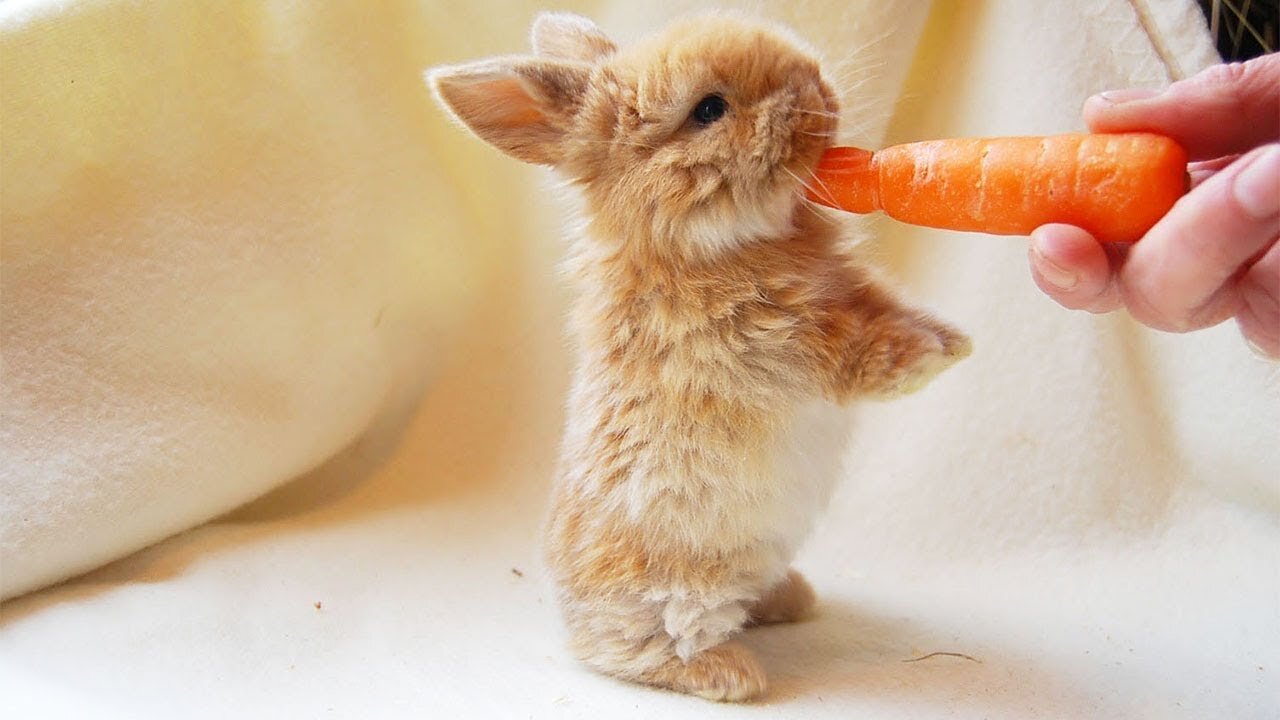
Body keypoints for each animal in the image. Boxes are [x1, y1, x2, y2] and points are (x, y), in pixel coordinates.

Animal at [430, 11, 967, 702]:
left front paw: (950, 335)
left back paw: (791, 599)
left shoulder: (852, 296)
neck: (698, 246)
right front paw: (942, 355)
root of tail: (573, 613)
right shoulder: (785, 344)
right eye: (708, 109)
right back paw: (731, 673)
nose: (817, 87)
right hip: (677, 588)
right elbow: (865, 355)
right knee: (629, 651)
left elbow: (884, 308)